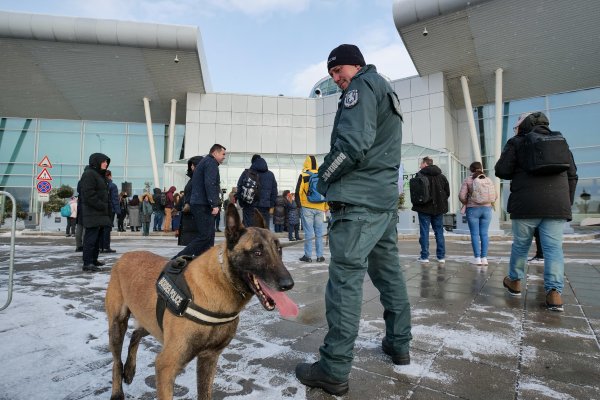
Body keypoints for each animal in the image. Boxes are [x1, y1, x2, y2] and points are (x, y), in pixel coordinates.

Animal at [106, 205, 298, 398]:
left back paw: (130, 370)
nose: (288, 284)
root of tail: (125, 256)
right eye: (257, 253)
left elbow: (205, 393)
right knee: (116, 361)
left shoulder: (209, 358)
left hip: (150, 321)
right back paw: (117, 390)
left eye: (279, 250)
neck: (222, 282)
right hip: (118, 325)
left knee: (135, 334)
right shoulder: (166, 366)